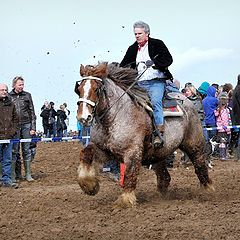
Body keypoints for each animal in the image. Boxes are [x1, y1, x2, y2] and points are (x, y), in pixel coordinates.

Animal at [75, 62, 214, 207]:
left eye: (96, 89)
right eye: (79, 89)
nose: (83, 117)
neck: (115, 117)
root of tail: (188, 102)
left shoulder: (132, 152)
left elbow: (130, 174)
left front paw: (125, 200)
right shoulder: (104, 150)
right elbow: (86, 153)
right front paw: (89, 185)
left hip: (193, 144)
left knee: (200, 165)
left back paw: (207, 190)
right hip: (159, 154)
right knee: (165, 177)